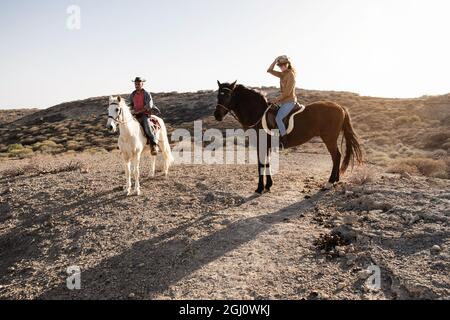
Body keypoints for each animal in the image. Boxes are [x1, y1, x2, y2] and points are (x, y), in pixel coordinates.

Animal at [213, 81, 364, 194]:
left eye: (227, 95)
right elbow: (267, 163)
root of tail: (340, 106)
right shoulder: (266, 146)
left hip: (329, 139)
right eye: (218, 96)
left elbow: (261, 164)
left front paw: (260, 188)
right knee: (337, 157)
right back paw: (335, 180)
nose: (217, 115)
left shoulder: (261, 145)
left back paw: (329, 182)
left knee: (336, 156)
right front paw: (268, 185)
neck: (258, 114)